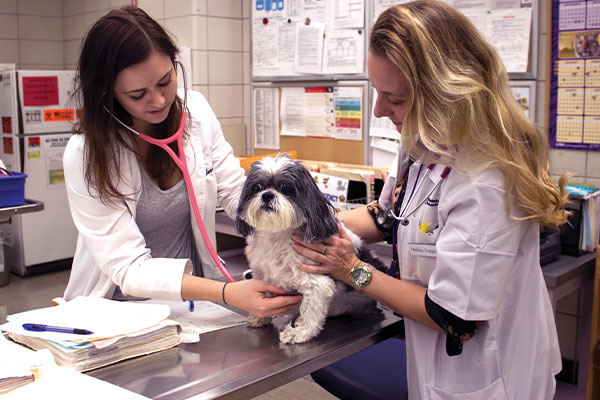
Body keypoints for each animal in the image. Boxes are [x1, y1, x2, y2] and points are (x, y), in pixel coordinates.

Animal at [234, 153, 384, 344]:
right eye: (257, 187)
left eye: (285, 187)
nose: (267, 195)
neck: (278, 237)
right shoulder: (262, 276)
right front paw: (261, 318)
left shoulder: (317, 284)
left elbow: (311, 313)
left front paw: (299, 333)